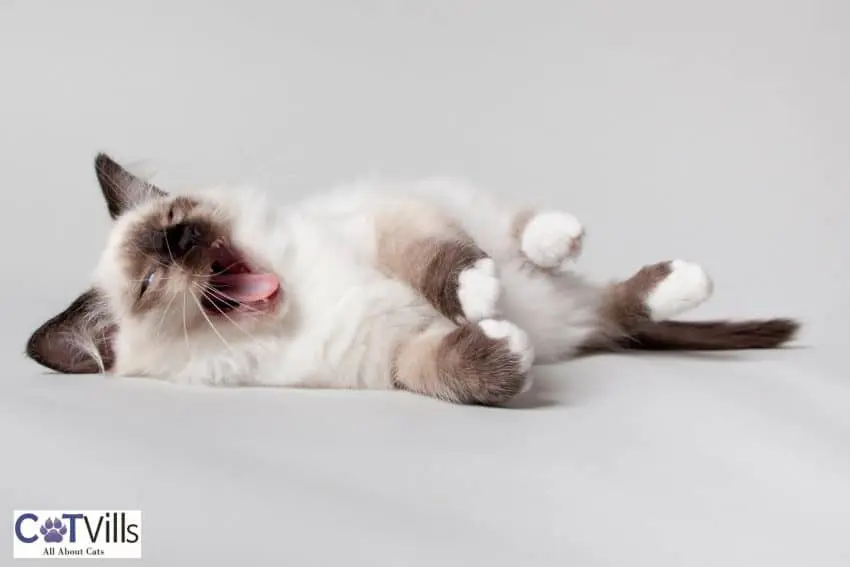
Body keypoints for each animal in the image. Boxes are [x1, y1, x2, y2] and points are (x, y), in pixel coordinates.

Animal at [23, 153, 800, 406]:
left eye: (176, 220)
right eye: (151, 281)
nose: (183, 240)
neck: (297, 301)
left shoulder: (388, 225)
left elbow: (444, 266)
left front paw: (478, 294)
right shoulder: (391, 359)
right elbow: (451, 368)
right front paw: (500, 348)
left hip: (456, 202)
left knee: (531, 239)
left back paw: (575, 242)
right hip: (572, 318)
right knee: (616, 309)